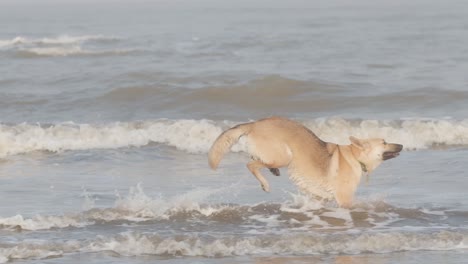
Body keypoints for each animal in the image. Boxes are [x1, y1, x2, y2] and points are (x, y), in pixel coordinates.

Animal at [208, 116, 402, 207]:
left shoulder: (321, 196)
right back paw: (265, 183)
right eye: (384, 142)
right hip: (284, 156)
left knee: (256, 159)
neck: (355, 157)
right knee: (251, 165)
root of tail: (255, 124)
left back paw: (272, 171)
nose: (401, 145)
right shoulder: (344, 199)